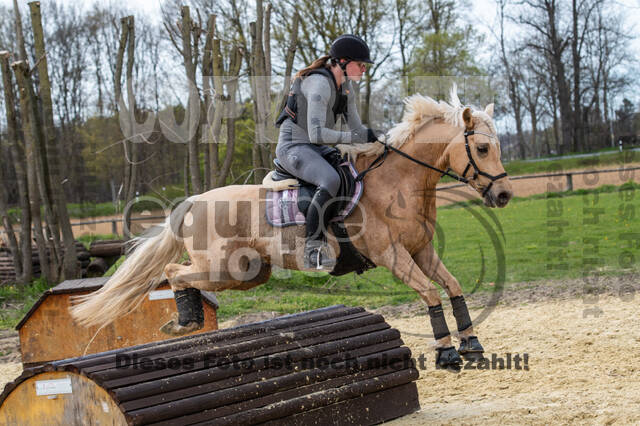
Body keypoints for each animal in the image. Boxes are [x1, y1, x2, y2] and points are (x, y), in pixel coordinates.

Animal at [70, 87, 512, 370]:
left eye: (499, 147)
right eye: (483, 148)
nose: (505, 194)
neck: (398, 182)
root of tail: (193, 201)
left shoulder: (422, 250)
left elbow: (452, 286)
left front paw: (471, 344)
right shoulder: (393, 256)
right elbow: (431, 293)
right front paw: (446, 353)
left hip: (249, 273)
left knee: (182, 274)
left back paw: (187, 321)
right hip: (225, 268)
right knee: (173, 271)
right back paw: (186, 321)